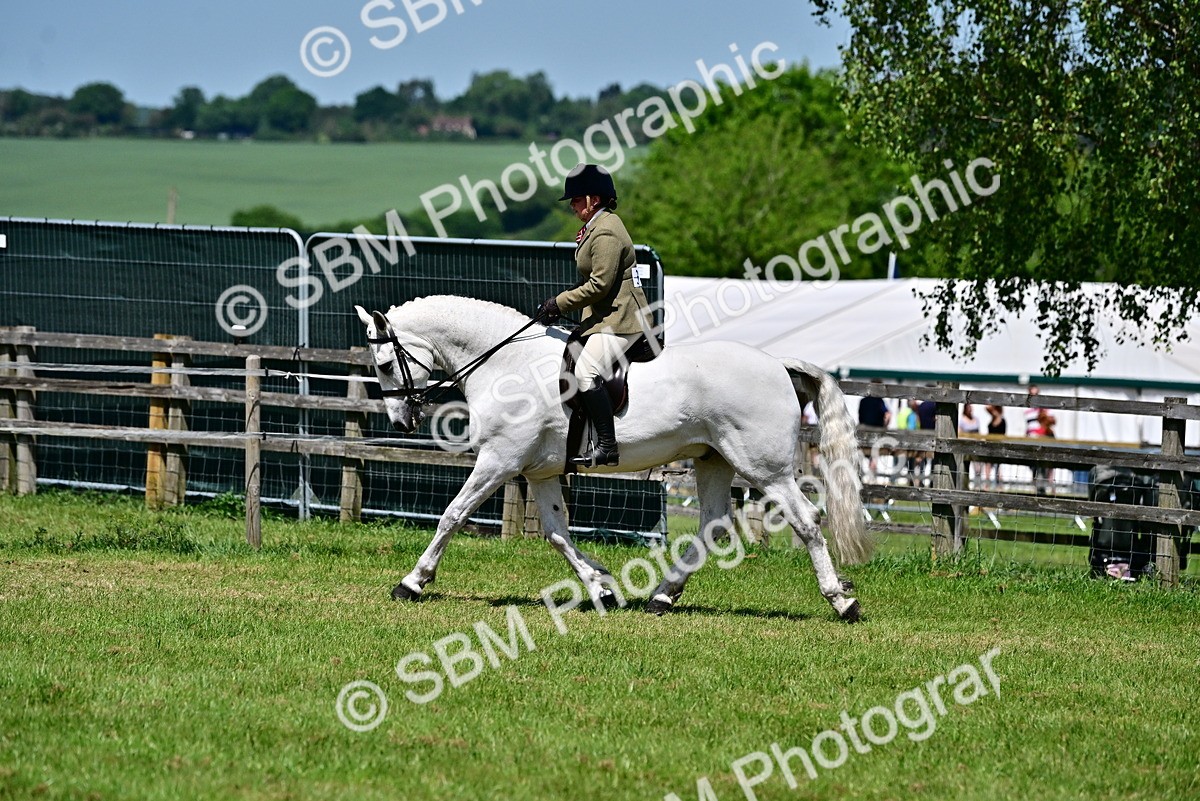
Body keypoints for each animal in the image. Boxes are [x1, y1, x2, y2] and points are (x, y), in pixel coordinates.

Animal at [354, 296, 872, 622]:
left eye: (385, 364)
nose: (401, 419)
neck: (506, 365)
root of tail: (778, 363)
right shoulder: (538, 470)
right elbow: (557, 533)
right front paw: (601, 584)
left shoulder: (499, 460)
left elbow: (453, 514)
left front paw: (412, 582)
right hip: (713, 459)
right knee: (712, 525)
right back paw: (663, 596)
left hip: (765, 468)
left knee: (806, 521)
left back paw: (841, 602)